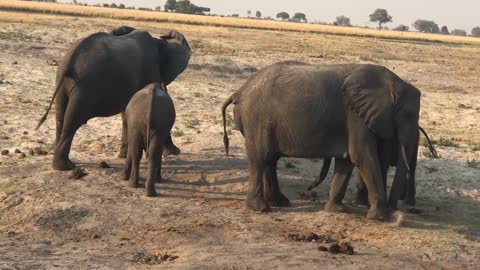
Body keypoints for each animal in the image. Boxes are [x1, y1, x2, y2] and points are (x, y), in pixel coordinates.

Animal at [36, 26, 190, 171]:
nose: (176, 151)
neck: (159, 42)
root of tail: (69, 62)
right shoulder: (150, 71)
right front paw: (174, 152)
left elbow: (127, 114)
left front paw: (123, 156)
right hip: (84, 87)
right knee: (73, 121)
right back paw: (65, 167)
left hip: (64, 84)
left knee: (61, 118)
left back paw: (61, 165)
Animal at [223, 60, 422, 219]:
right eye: (407, 115)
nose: (396, 215)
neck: (393, 82)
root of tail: (240, 91)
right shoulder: (355, 116)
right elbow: (362, 156)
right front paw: (378, 217)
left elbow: (347, 161)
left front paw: (338, 210)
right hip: (256, 119)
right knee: (260, 159)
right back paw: (261, 208)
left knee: (270, 160)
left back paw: (279, 202)